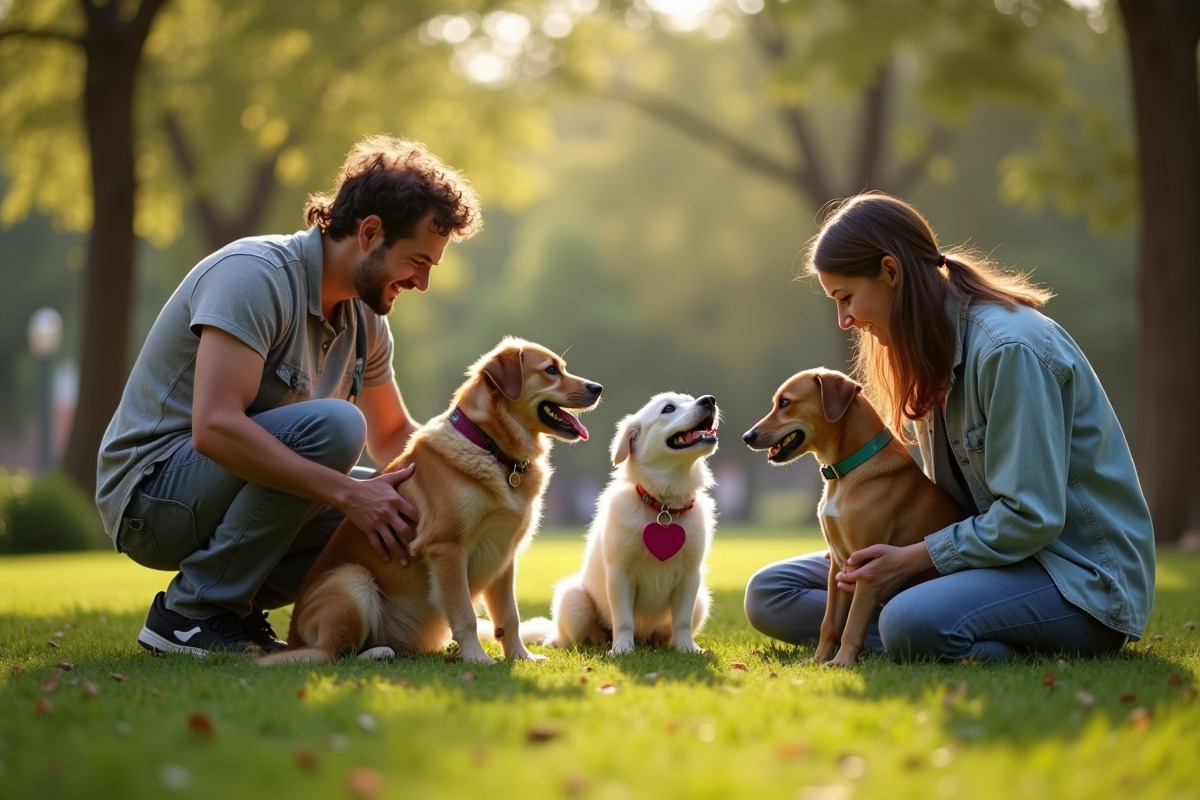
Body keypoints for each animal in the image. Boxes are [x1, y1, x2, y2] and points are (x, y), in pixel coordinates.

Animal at [262, 335, 600, 666]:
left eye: (561, 367)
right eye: (551, 370)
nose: (598, 388)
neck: (490, 447)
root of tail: (293, 636)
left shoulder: (503, 554)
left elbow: (510, 617)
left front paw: (520, 655)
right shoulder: (446, 548)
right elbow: (465, 616)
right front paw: (477, 658)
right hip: (353, 580)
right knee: (331, 653)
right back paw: (374, 653)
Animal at [739, 369, 964, 671]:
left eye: (785, 403)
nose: (746, 436)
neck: (846, 473)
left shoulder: (866, 566)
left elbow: (853, 623)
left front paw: (841, 662)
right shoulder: (838, 564)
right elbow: (829, 623)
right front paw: (818, 659)